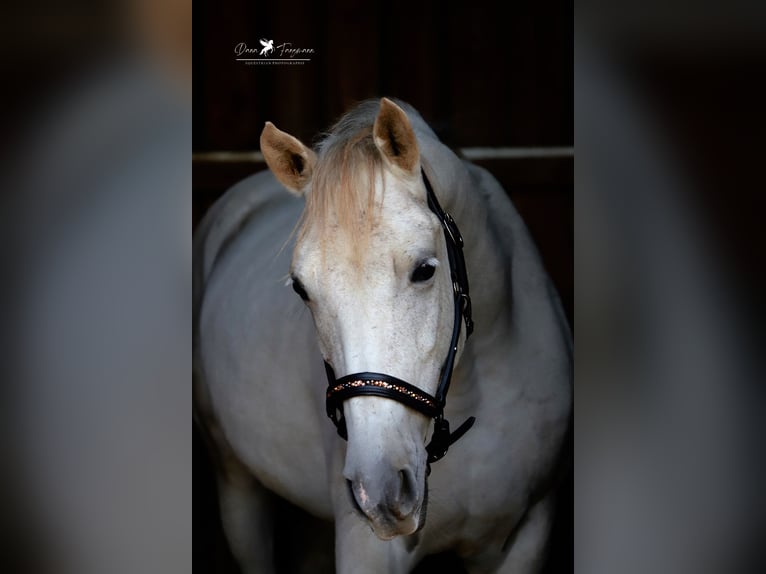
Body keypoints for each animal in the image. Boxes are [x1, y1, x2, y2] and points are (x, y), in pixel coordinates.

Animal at [195, 99, 572, 574]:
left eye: (425, 270)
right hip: (237, 485)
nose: (379, 489)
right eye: (301, 289)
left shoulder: (529, 534)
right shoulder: (367, 549)